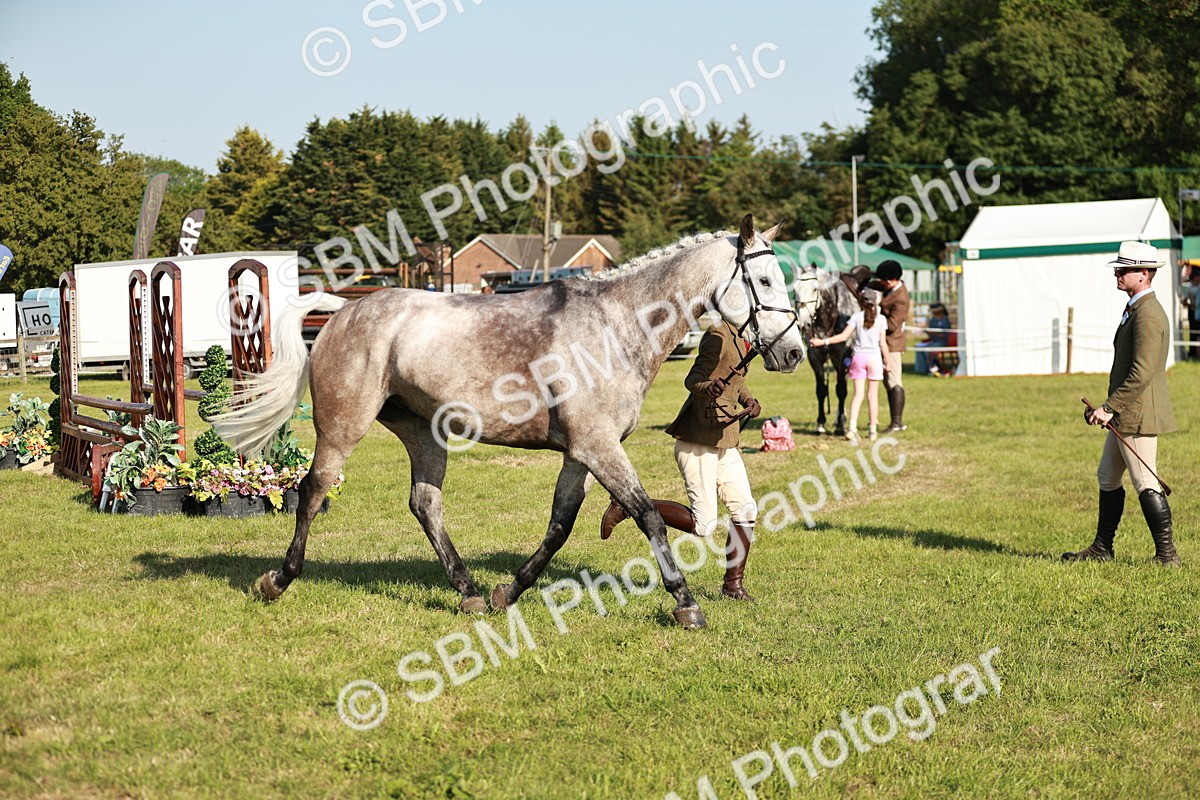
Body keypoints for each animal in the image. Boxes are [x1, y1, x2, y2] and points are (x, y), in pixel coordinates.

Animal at [212, 215, 805, 630]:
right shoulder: (600, 448)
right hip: (343, 426)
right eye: (763, 280)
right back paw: (279, 580)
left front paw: (507, 593)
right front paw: (686, 605)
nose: (795, 352)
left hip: (423, 432)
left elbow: (560, 524)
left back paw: (470, 591)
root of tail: (342, 312)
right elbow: (648, 517)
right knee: (313, 491)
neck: (616, 325)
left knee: (425, 504)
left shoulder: (581, 452)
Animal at [793, 264, 859, 435]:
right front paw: (821, 423)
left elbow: (841, 390)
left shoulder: (843, 357)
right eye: (795, 290)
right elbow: (821, 390)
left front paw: (841, 427)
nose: (803, 324)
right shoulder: (816, 358)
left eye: (815, 289)